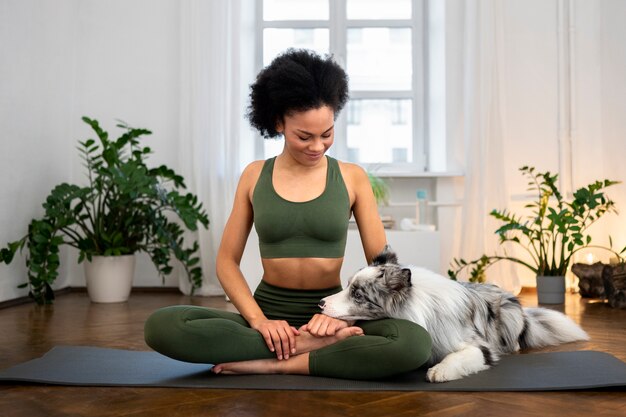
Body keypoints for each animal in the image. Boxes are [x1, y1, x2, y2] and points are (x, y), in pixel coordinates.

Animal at [320, 245, 588, 382]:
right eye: (347, 285)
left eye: (358, 295)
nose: (321, 303)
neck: (421, 310)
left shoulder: (478, 347)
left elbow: (458, 356)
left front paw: (440, 371)